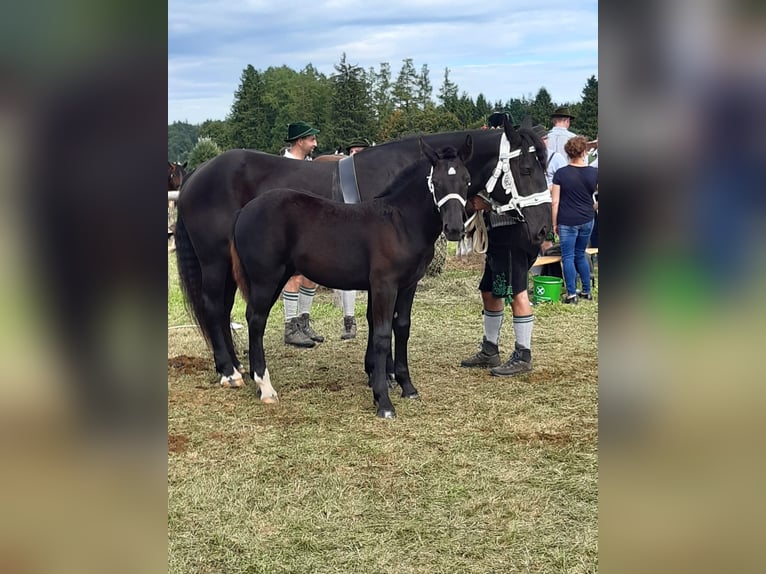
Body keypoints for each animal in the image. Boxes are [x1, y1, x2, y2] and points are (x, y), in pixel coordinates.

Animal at [178, 114, 552, 388]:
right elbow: (380, 321)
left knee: (224, 309)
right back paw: (229, 371)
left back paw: (236, 366)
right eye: (526, 169)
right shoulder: (381, 275)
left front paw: (381, 371)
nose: (543, 229)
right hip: (216, 262)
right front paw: (381, 373)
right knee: (214, 307)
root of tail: (195, 173)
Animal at [231, 138, 474, 420]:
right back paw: (265, 387)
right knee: (256, 320)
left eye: (467, 179)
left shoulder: (408, 285)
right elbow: (381, 335)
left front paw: (408, 387)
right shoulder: (384, 286)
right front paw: (383, 401)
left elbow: (402, 328)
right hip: (266, 279)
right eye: (436, 181)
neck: (400, 222)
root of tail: (244, 211)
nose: (454, 229)